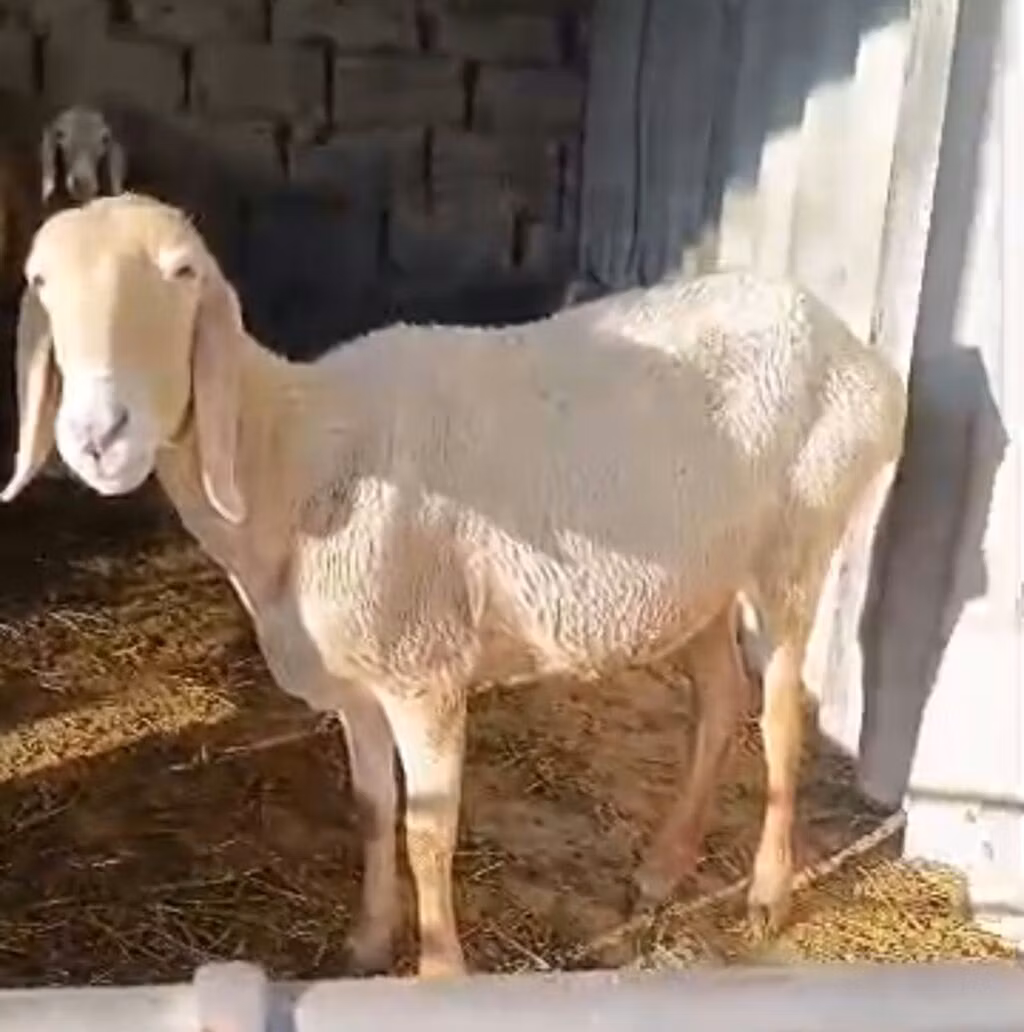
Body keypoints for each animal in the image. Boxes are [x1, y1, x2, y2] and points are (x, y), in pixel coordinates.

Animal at [2, 193, 908, 978]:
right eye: (40, 283)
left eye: (182, 272)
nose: (98, 436)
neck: (288, 453)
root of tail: (846, 340)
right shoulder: (357, 685)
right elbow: (373, 811)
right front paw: (367, 942)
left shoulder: (423, 672)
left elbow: (428, 831)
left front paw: (438, 971)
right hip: (701, 581)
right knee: (719, 703)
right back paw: (663, 868)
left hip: (797, 543)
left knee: (780, 715)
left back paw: (766, 893)